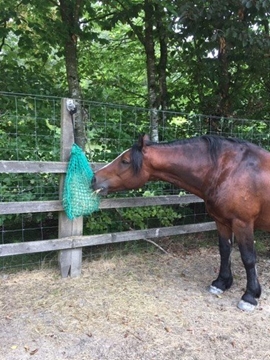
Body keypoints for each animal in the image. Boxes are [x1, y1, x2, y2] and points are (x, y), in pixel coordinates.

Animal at [93, 134, 270, 310]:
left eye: (125, 161)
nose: (94, 178)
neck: (229, 170)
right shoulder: (222, 221)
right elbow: (225, 251)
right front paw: (221, 283)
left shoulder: (242, 223)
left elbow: (248, 258)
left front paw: (250, 296)